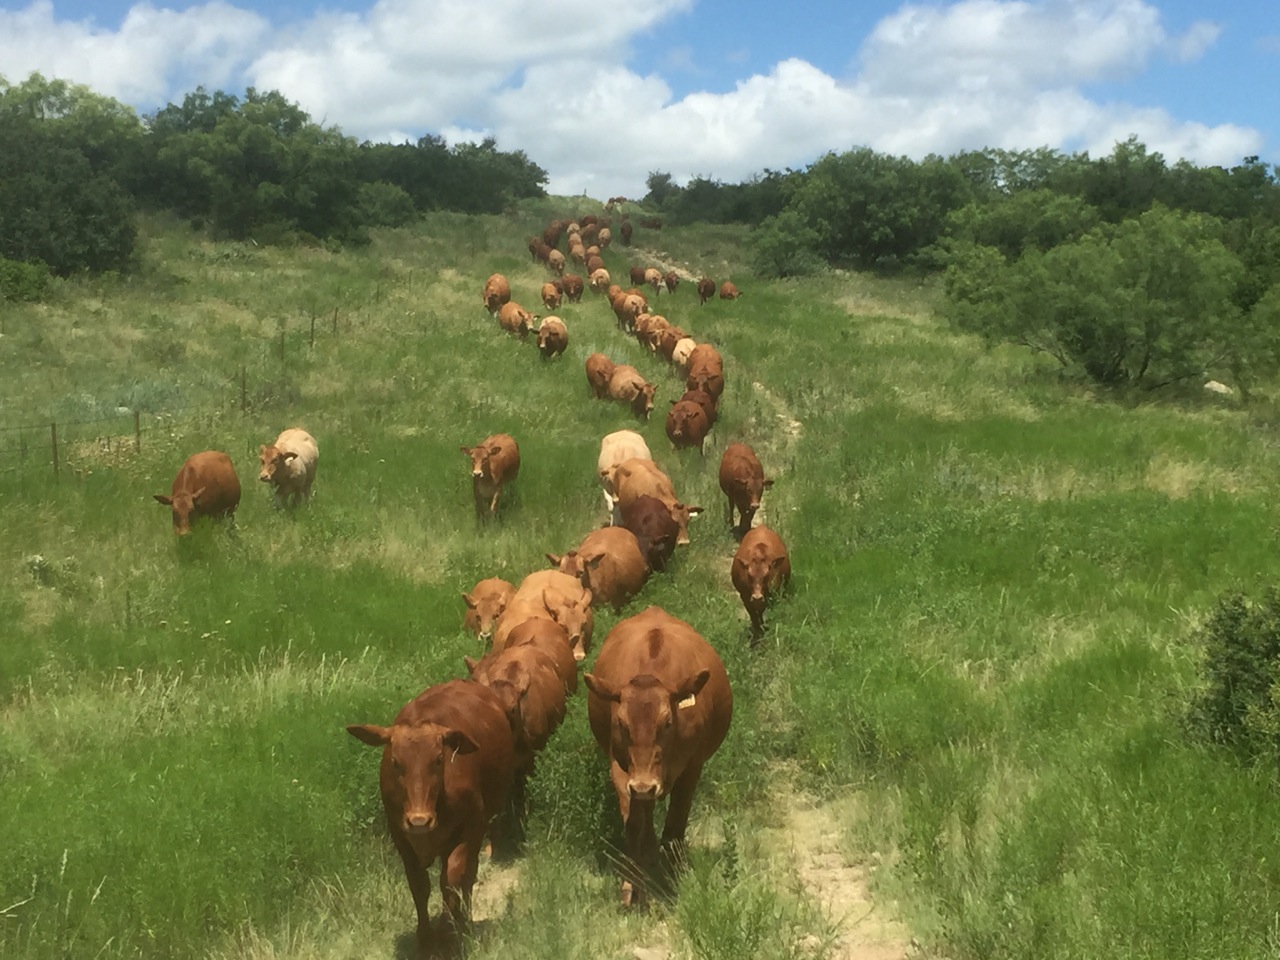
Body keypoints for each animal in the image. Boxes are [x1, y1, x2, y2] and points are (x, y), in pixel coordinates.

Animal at [350, 680, 514, 957]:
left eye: (438, 760)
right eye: (395, 762)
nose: (419, 821)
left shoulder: (471, 827)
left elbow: (452, 879)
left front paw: (448, 934)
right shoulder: (400, 835)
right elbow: (419, 885)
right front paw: (426, 940)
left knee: (468, 875)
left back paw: (463, 922)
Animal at [583, 609, 732, 911]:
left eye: (667, 722)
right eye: (621, 724)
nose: (644, 785)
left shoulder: (692, 767)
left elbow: (675, 823)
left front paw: (674, 879)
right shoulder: (621, 770)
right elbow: (634, 825)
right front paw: (633, 887)